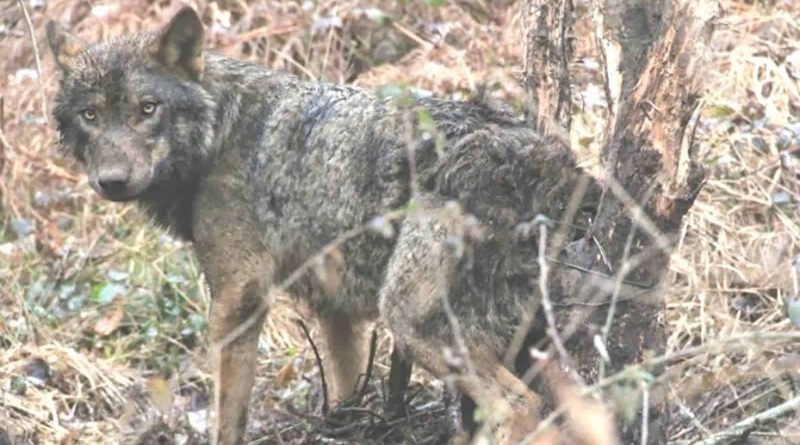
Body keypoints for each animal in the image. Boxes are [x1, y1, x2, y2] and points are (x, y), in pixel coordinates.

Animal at [47, 7, 591, 444]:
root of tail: (554, 168)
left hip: (412, 324)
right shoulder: (337, 313)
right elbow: (345, 394)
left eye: (147, 109)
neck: (219, 133)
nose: (113, 181)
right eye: (90, 115)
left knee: (520, 406)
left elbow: (228, 414)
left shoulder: (238, 295)